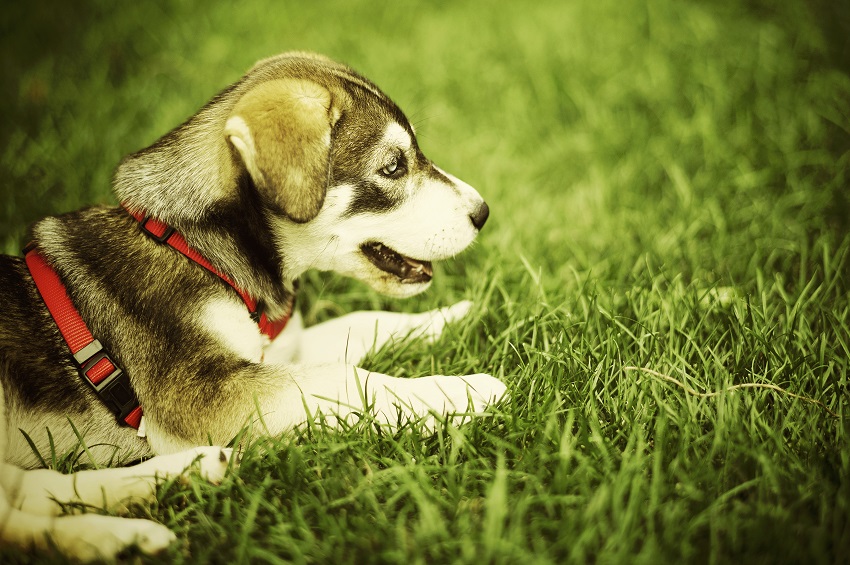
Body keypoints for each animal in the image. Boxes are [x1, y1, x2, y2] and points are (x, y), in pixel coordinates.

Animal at [0, 53, 504, 560]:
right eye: (394, 166)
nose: (483, 213)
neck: (199, 252)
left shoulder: (275, 349)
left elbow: (362, 322)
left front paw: (455, 316)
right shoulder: (201, 392)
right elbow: (343, 377)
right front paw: (465, 390)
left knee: (38, 489)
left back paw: (192, 475)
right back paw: (117, 537)